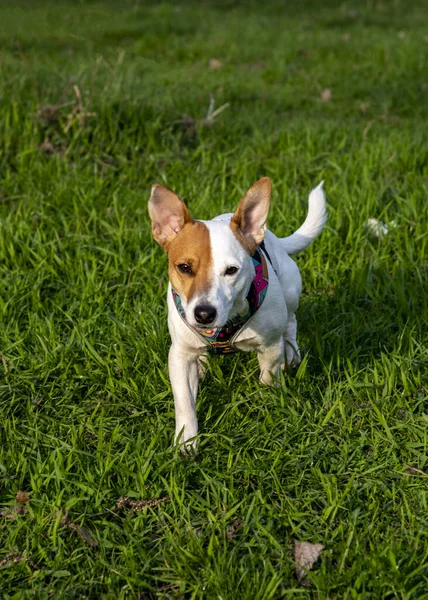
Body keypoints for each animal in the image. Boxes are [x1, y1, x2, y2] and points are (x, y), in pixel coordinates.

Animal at [149, 178, 326, 450]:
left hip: (290, 292)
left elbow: (268, 375)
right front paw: (186, 440)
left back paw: (291, 353)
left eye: (231, 270)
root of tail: (274, 238)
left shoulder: (270, 346)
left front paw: (268, 397)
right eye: (184, 267)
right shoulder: (179, 356)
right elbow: (184, 402)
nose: (204, 314)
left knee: (291, 322)